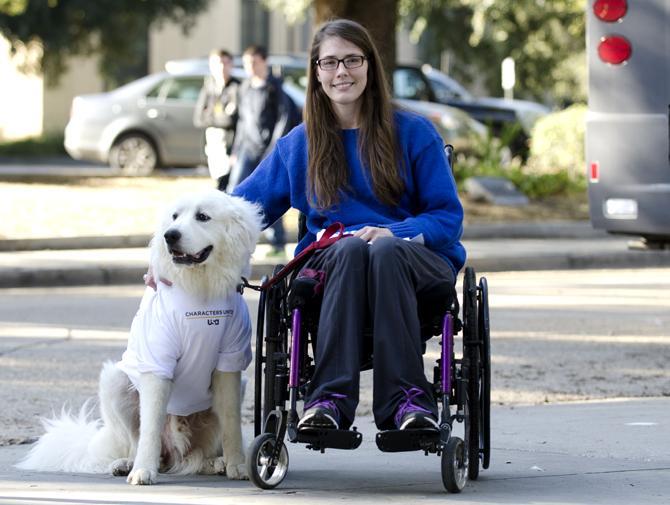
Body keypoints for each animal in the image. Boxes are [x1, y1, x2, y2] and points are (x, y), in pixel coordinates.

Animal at [15, 189, 262, 484]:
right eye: (174, 217)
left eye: (203, 217)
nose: (170, 235)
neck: (199, 290)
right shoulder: (157, 363)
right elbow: (151, 428)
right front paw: (143, 470)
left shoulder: (229, 362)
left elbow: (231, 423)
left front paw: (239, 465)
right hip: (116, 381)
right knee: (139, 443)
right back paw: (128, 464)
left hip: (236, 390)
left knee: (197, 456)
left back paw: (216, 463)